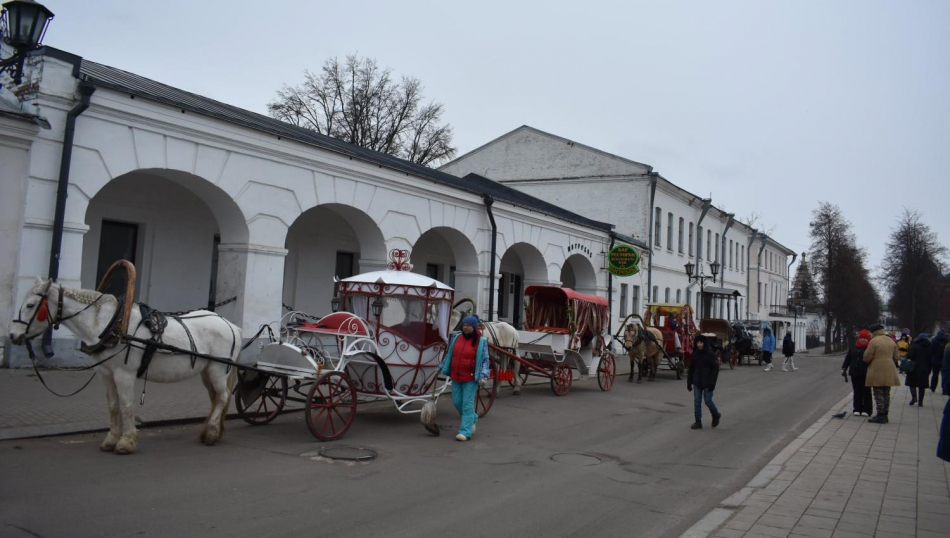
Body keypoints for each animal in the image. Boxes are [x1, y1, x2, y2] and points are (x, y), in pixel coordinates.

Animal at [10, 276, 240, 452]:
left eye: (31, 305)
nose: (13, 335)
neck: (111, 325)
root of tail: (231, 325)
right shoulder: (106, 374)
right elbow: (113, 406)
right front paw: (111, 439)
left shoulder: (124, 374)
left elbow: (127, 405)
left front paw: (127, 442)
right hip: (207, 371)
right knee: (215, 398)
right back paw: (211, 430)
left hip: (218, 370)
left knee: (222, 397)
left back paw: (211, 432)